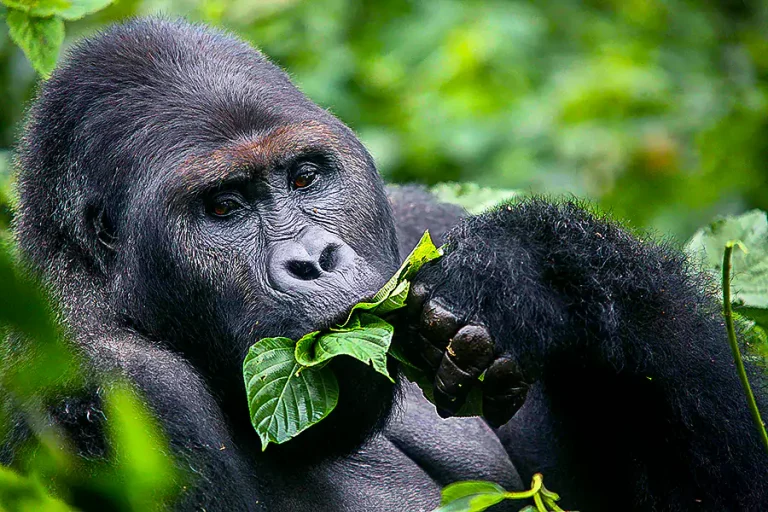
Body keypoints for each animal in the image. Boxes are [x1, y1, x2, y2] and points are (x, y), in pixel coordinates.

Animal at [4, 17, 768, 512]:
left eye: (305, 176)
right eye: (223, 207)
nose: (314, 260)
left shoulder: (419, 220)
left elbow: (733, 481)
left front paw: (536, 275)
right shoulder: (102, 383)